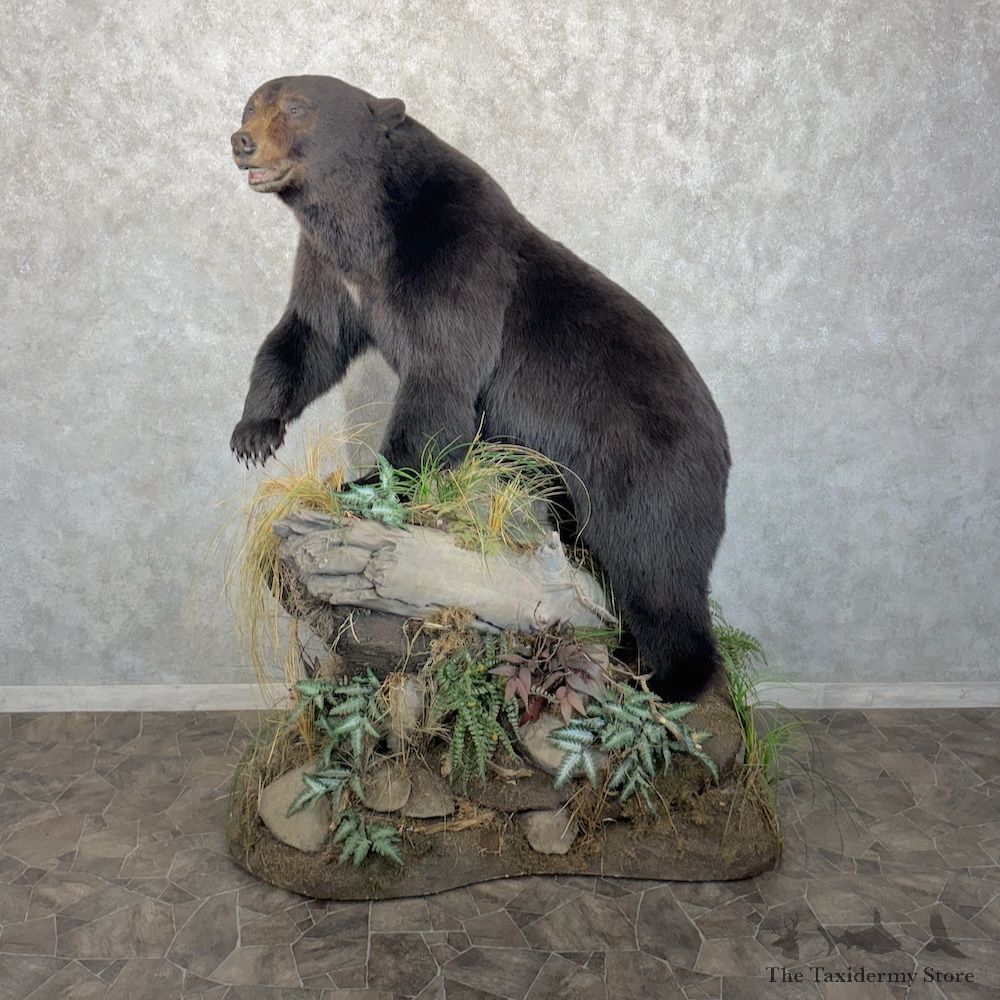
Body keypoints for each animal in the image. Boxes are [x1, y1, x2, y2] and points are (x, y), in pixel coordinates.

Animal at [229, 75, 731, 702]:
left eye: (296, 108)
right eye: (252, 104)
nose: (241, 141)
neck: (368, 228)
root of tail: (723, 444)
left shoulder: (453, 260)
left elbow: (440, 381)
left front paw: (367, 482)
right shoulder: (333, 271)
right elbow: (309, 338)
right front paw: (254, 433)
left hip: (646, 470)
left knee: (657, 569)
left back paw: (667, 677)